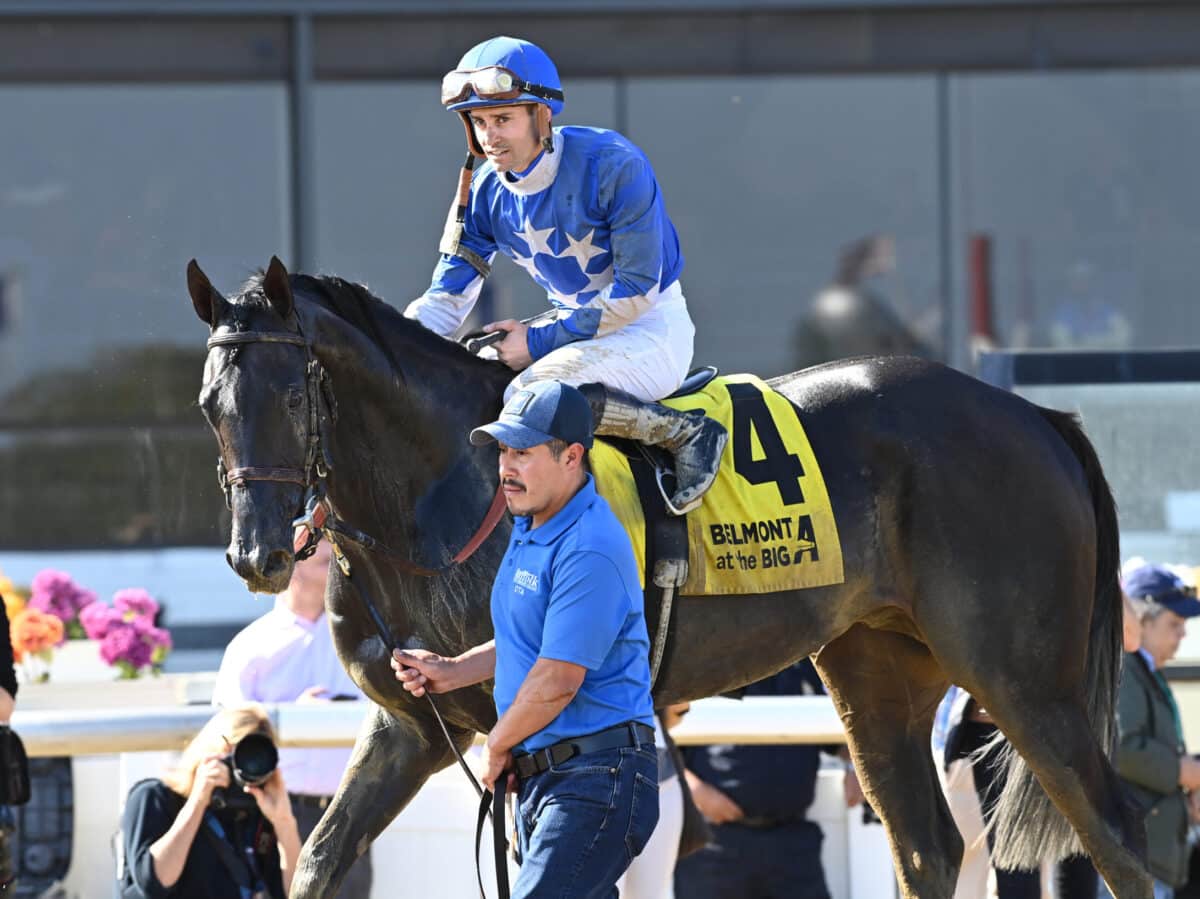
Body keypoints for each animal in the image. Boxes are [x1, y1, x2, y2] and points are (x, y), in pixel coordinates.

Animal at [189, 254, 1152, 897]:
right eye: (210, 404)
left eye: (290, 393)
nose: (256, 556)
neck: (441, 491)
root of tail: (1031, 414)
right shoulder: (411, 724)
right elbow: (318, 858)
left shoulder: (512, 723)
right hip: (877, 671)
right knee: (928, 847)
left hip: (1024, 677)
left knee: (1117, 834)